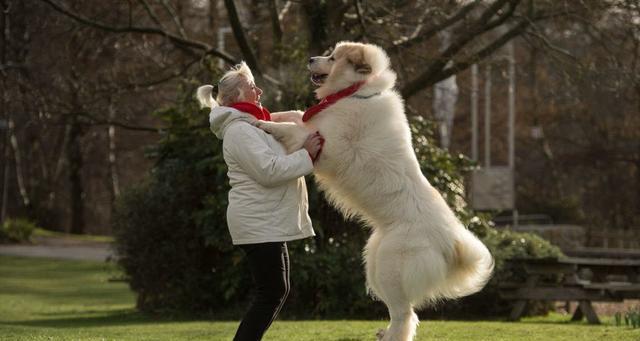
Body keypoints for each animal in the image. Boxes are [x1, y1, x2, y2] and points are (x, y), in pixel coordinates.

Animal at [258, 41, 492, 340]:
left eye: (332, 58)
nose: (311, 58)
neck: (356, 93)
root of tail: (452, 241)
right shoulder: (313, 123)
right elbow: (294, 114)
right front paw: (265, 111)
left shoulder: (324, 145)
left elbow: (291, 127)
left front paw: (264, 124)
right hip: (375, 264)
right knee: (400, 312)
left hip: (391, 268)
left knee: (406, 315)